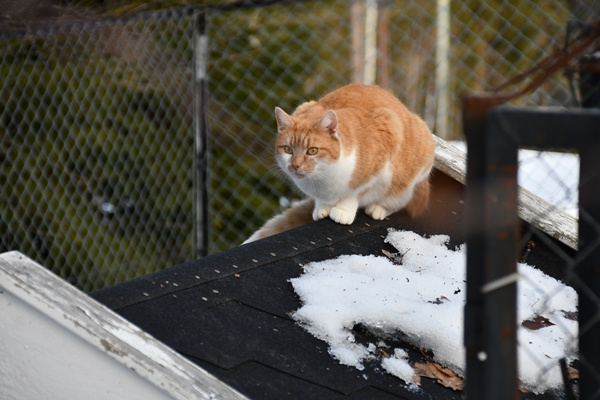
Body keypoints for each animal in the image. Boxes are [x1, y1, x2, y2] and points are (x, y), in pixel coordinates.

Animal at [241, 83, 434, 242]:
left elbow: (355, 193)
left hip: (410, 179)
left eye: (312, 151)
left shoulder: (385, 138)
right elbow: (322, 200)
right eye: (288, 149)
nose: (295, 165)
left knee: (399, 201)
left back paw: (378, 209)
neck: (323, 177)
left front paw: (343, 211)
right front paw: (322, 208)